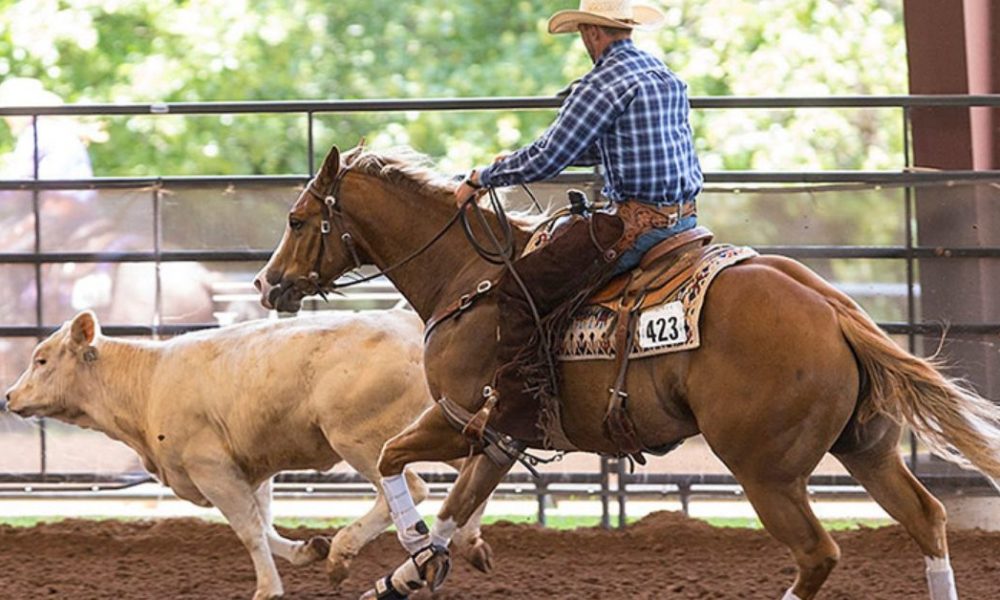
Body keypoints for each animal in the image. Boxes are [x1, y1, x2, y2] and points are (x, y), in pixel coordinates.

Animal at [254, 144, 1000, 600]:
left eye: (297, 218)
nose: (266, 284)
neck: (470, 279)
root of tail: (832, 309)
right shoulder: (498, 434)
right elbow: (443, 496)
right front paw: (416, 568)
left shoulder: (466, 415)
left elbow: (394, 461)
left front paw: (412, 554)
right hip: (866, 449)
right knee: (927, 518)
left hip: (766, 471)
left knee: (819, 554)